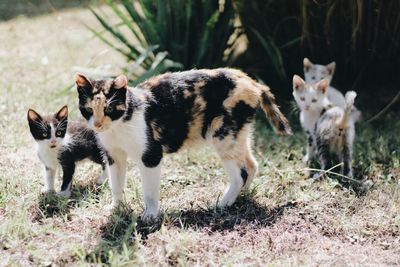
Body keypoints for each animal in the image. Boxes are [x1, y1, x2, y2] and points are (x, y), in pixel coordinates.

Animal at [76, 69, 294, 222]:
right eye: (88, 109)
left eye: (109, 109)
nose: (98, 124)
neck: (120, 125)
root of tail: (251, 81)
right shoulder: (114, 157)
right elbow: (116, 184)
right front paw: (116, 209)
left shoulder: (151, 156)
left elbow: (150, 192)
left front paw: (150, 215)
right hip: (238, 137)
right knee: (251, 166)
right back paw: (241, 197)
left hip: (224, 137)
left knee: (240, 174)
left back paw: (223, 204)